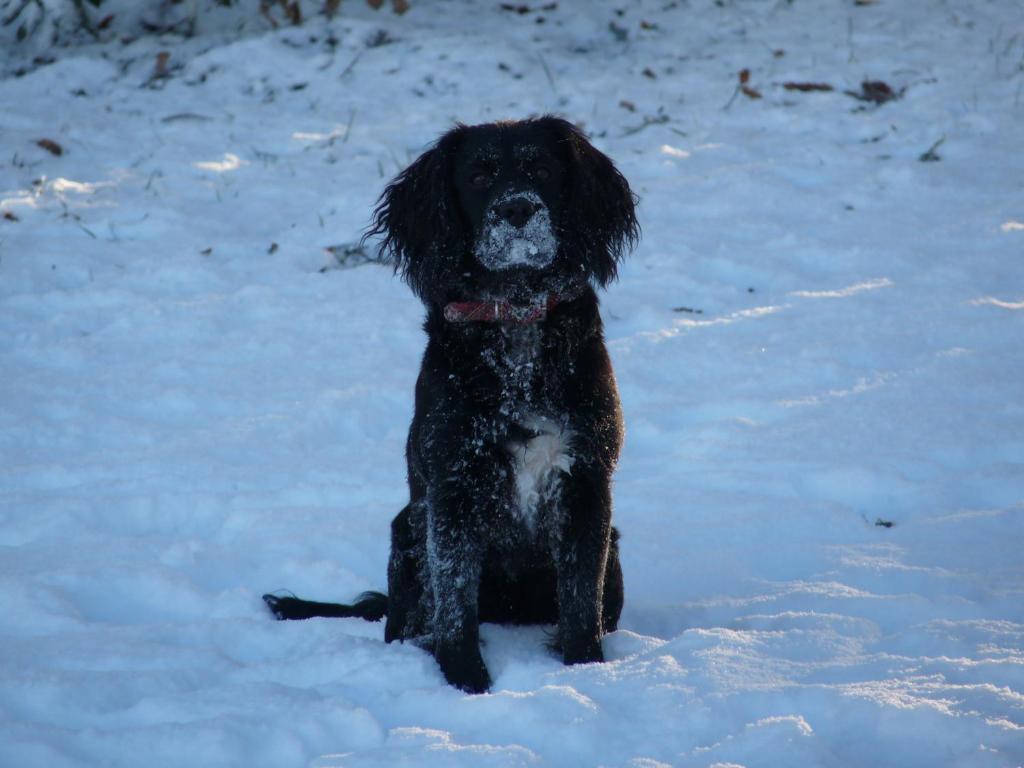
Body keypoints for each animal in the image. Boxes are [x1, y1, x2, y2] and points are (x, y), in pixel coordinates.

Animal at [268, 117, 643, 696]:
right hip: (408, 531)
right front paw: (467, 682)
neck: (515, 318)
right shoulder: (454, 486)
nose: (518, 210)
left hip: (615, 551)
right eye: (479, 176)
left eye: (541, 170)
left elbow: (581, 596)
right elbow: (455, 600)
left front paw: (585, 671)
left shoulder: (585, 479)